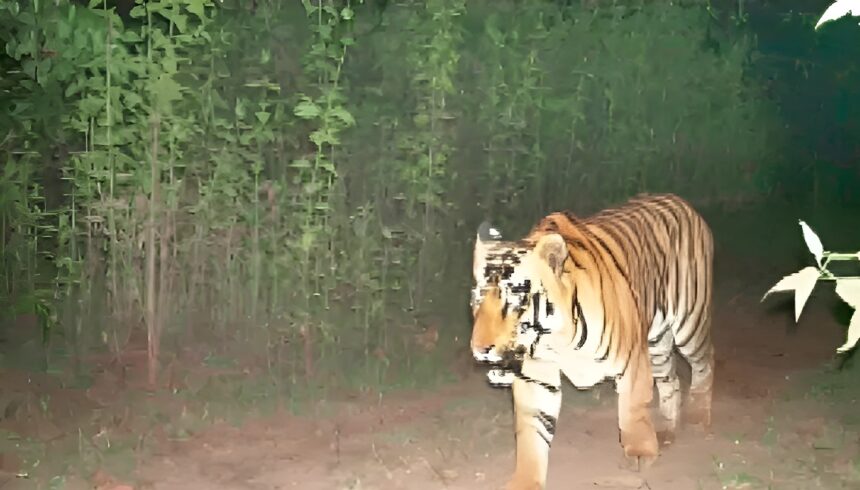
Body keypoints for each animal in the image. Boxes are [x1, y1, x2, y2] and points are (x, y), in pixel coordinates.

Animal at [469, 193, 714, 490]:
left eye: (514, 300)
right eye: (477, 301)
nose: (479, 350)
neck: (557, 340)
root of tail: (681, 201)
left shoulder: (632, 360)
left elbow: (633, 410)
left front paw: (639, 453)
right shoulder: (536, 376)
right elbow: (532, 433)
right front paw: (525, 481)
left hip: (689, 322)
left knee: (705, 363)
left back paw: (699, 418)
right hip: (657, 341)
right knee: (671, 380)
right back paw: (667, 431)